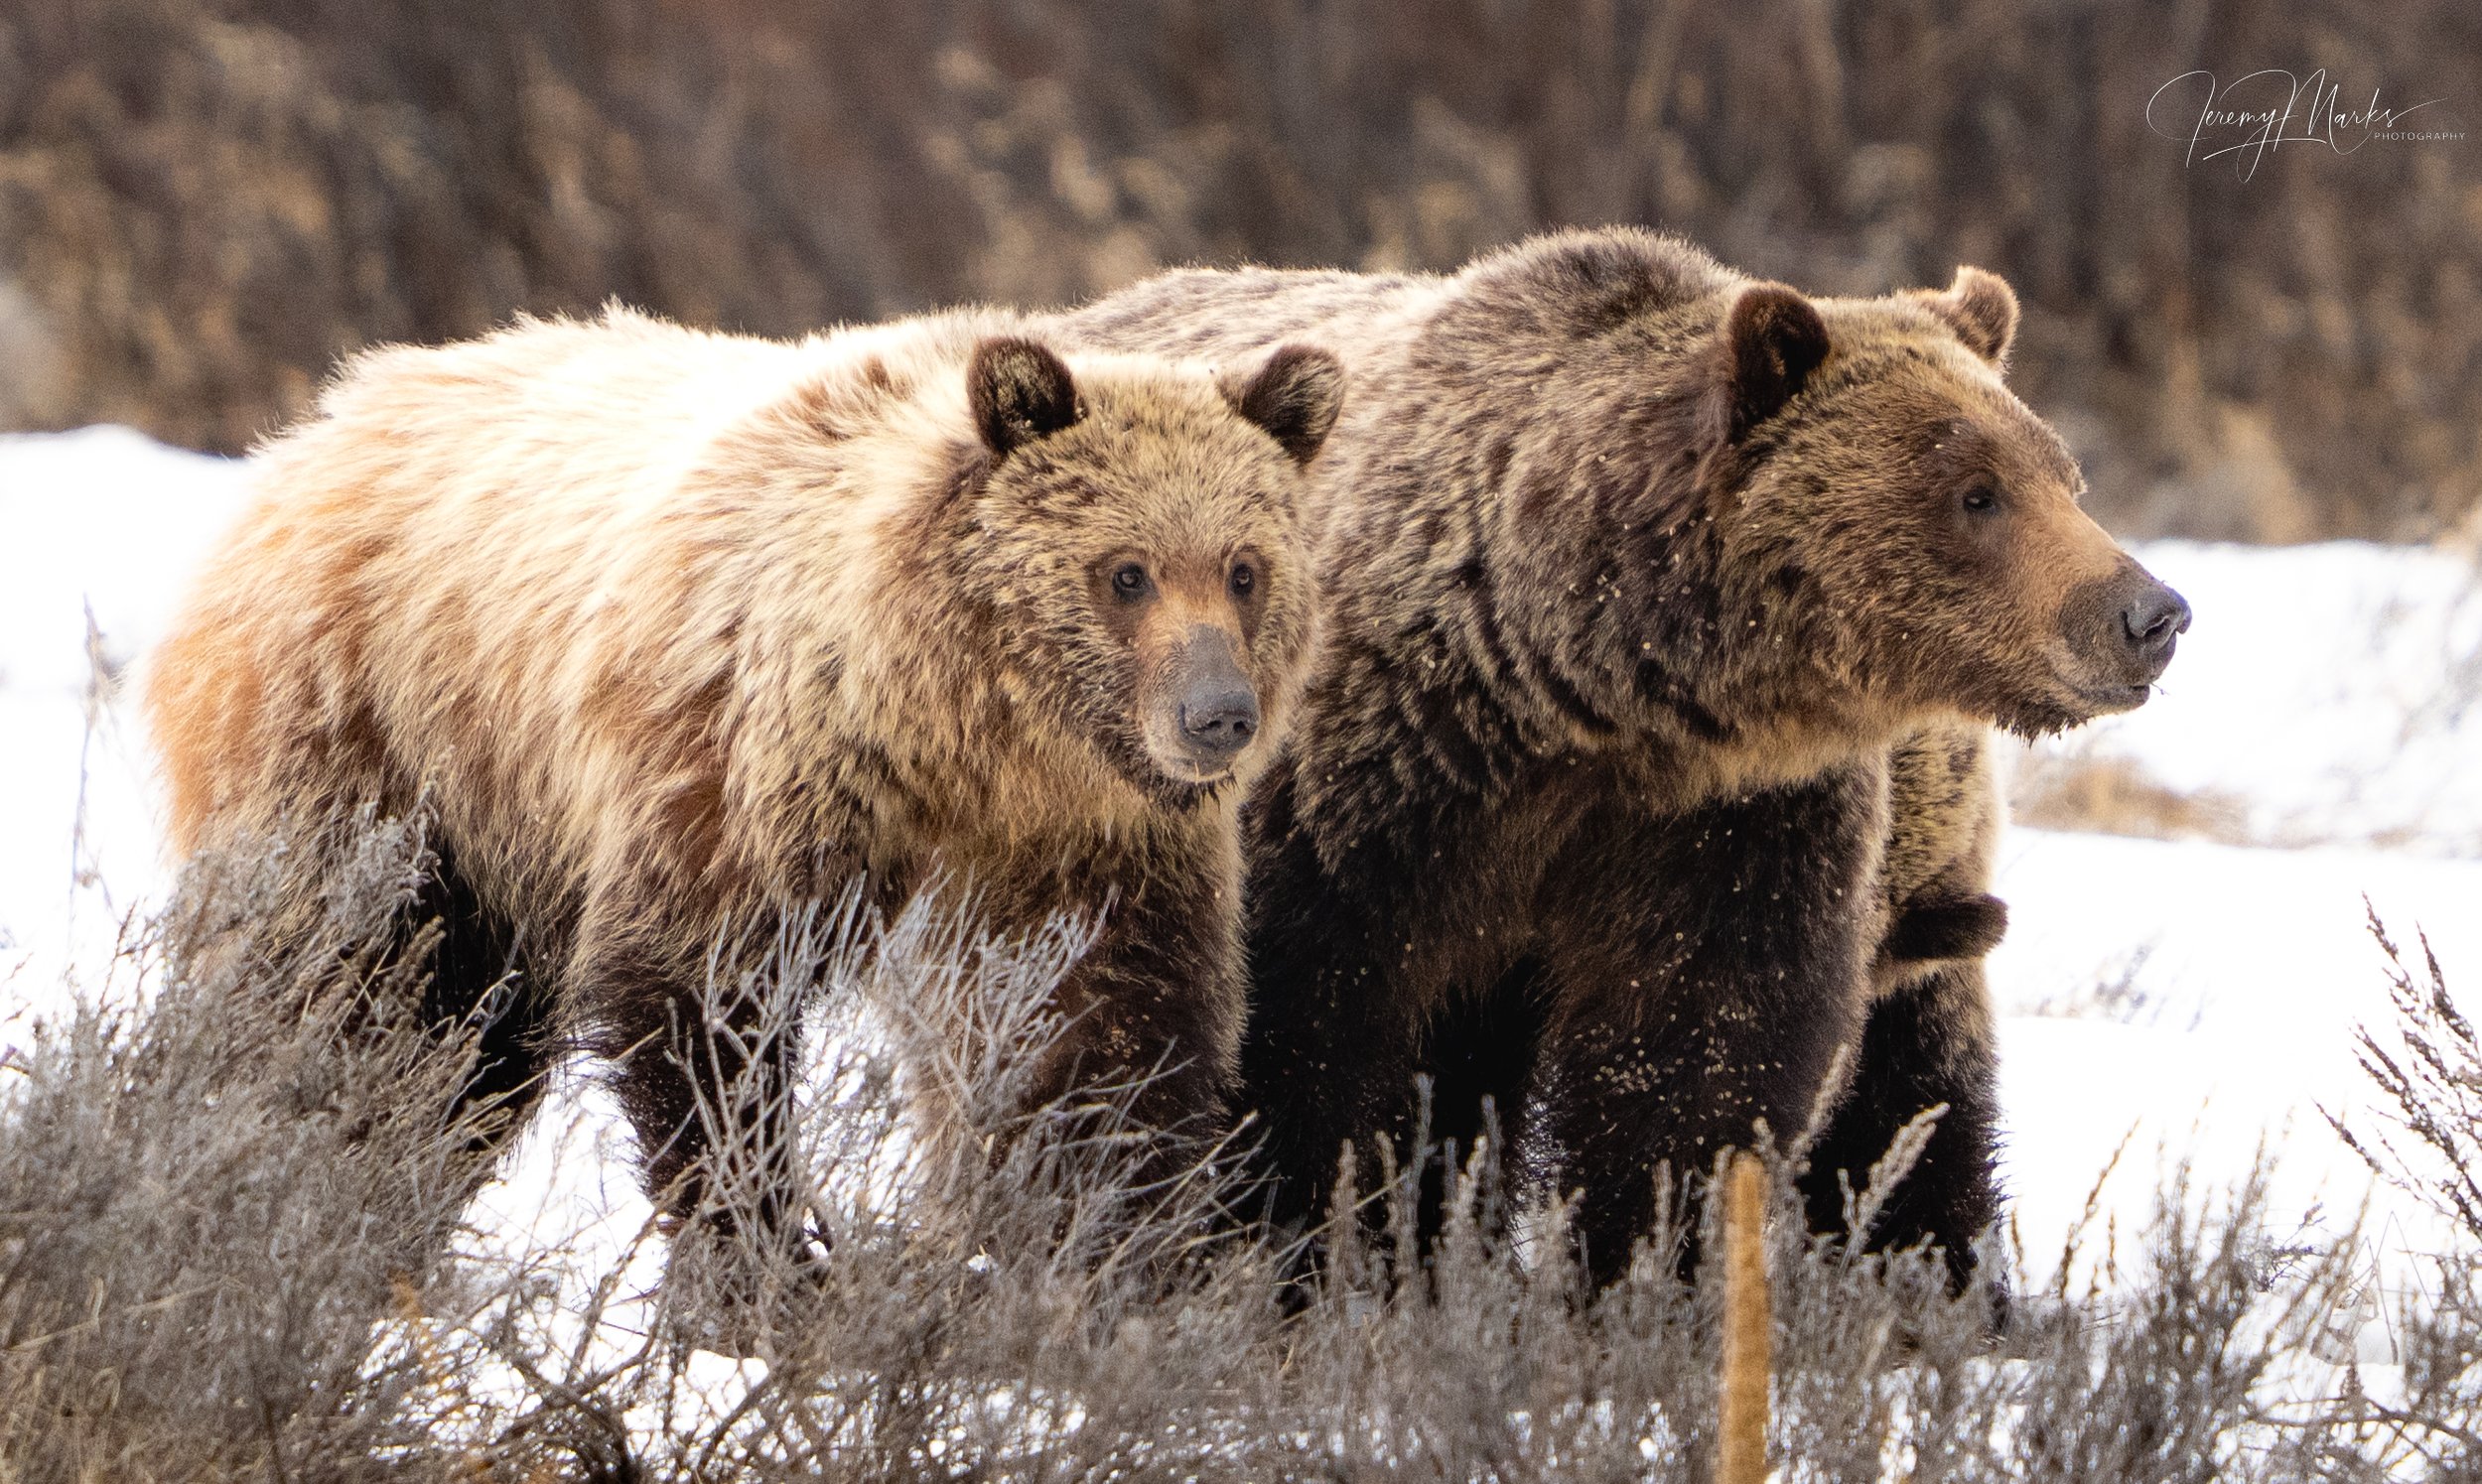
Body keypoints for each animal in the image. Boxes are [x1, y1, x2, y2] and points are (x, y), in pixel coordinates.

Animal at [146, 306, 1344, 1245]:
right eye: (1125, 572)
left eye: (1245, 567)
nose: (1217, 715)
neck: (970, 738)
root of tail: (317, 424)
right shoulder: (748, 763)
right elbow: (699, 1000)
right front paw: (770, 1260)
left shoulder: (1089, 850)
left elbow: (1105, 1039)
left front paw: (1114, 1257)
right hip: (382, 745)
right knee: (345, 992)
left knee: (459, 1057)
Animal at [1058, 227, 2188, 1291]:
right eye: (1975, 490)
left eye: (2064, 475)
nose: (2150, 613)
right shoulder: (1366, 786)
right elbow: (1304, 1028)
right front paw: (1307, 1249)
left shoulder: (1728, 819)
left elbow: (1699, 1058)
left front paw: (1641, 1269)